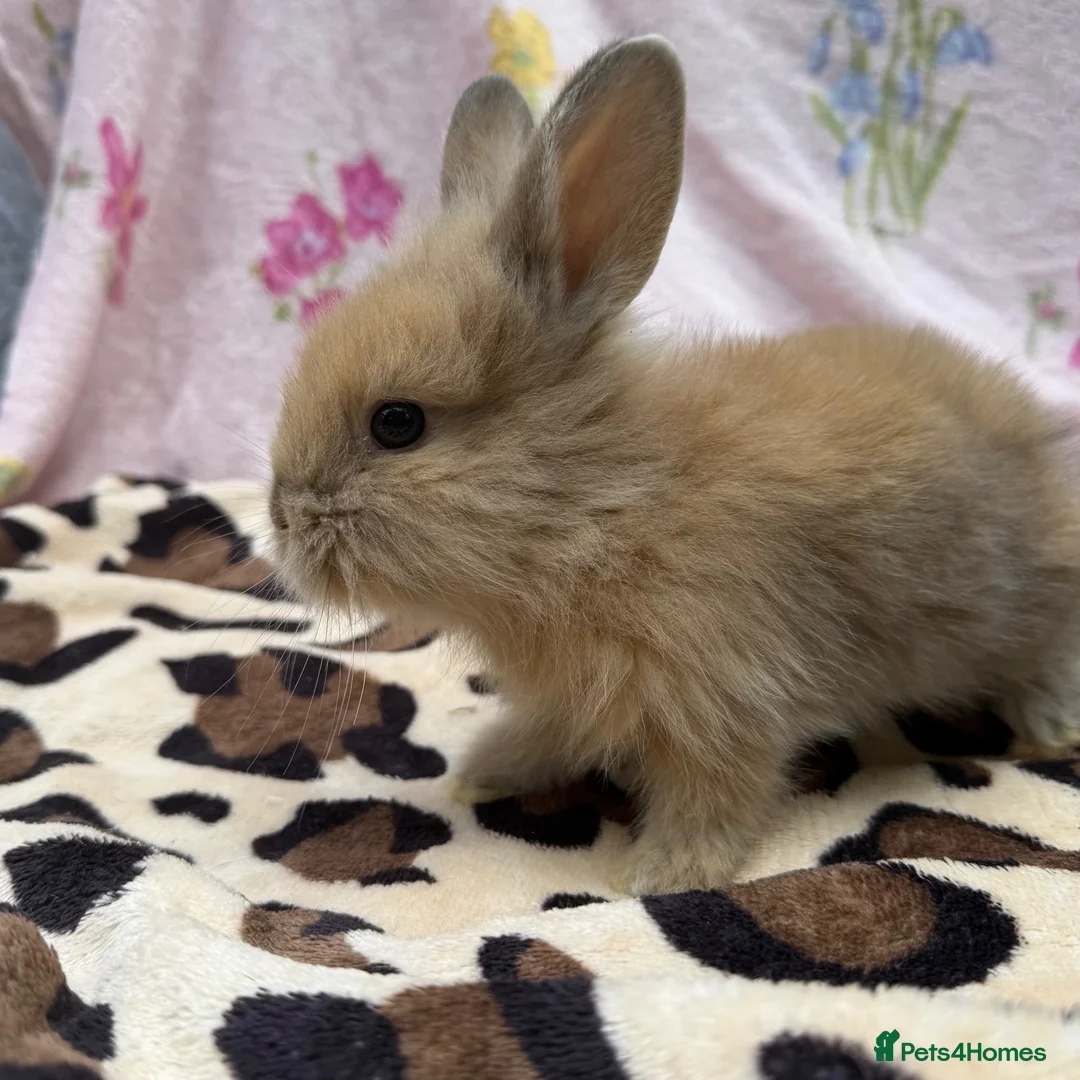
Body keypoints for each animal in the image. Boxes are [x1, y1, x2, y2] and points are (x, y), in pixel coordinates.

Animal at [269, 36, 1080, 895]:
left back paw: (1050, 727)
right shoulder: (575, 698)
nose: (281, 516)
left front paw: (665, 874)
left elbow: (718, 790)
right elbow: (552, 736)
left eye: (398, 423)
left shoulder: (726, 697)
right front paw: (485, 772)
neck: (604, 502)